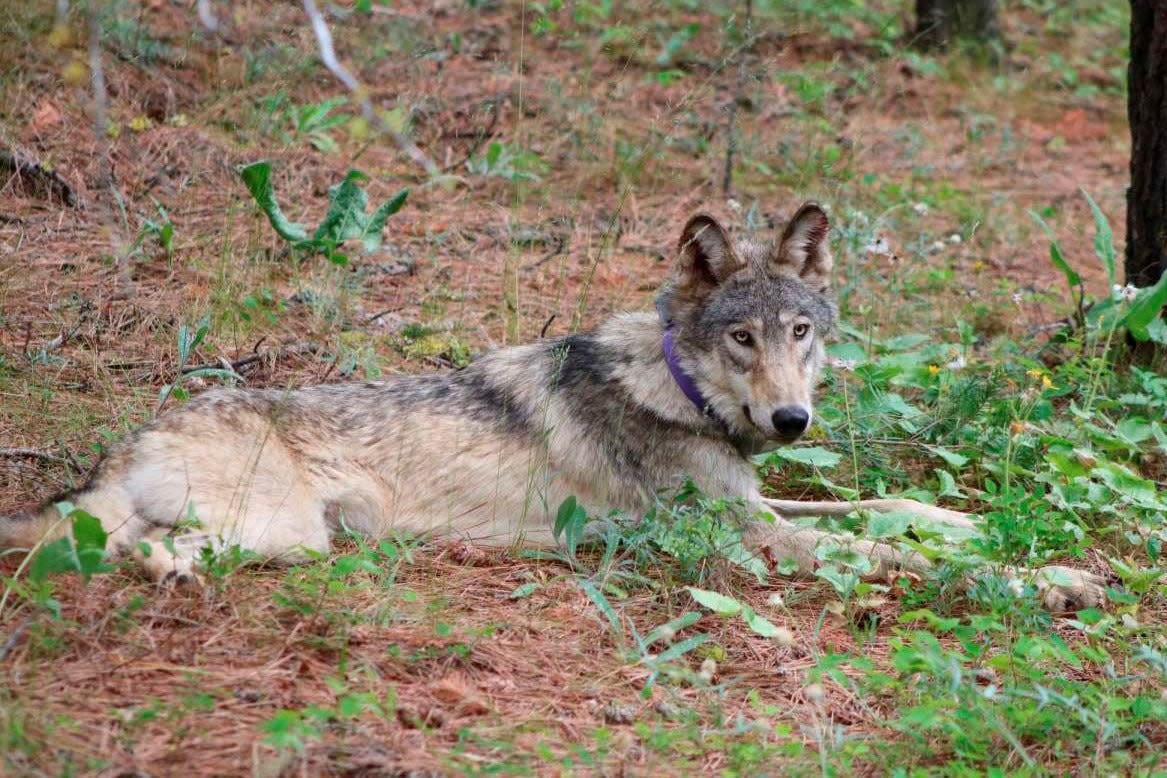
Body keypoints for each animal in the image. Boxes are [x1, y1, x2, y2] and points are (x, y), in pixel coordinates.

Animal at [0, 204, 1101, 611]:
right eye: (741, 339)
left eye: (801, 331)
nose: (791, 423)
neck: (678, 388)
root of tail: (133, 436)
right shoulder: (748, 539)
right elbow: (884, 552)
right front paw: (1050, 581)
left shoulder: (755, 506)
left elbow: (887, 509)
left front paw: (975, 527)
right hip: (288, 535)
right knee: (130, 551)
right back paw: (166, 577)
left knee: (107, 540)